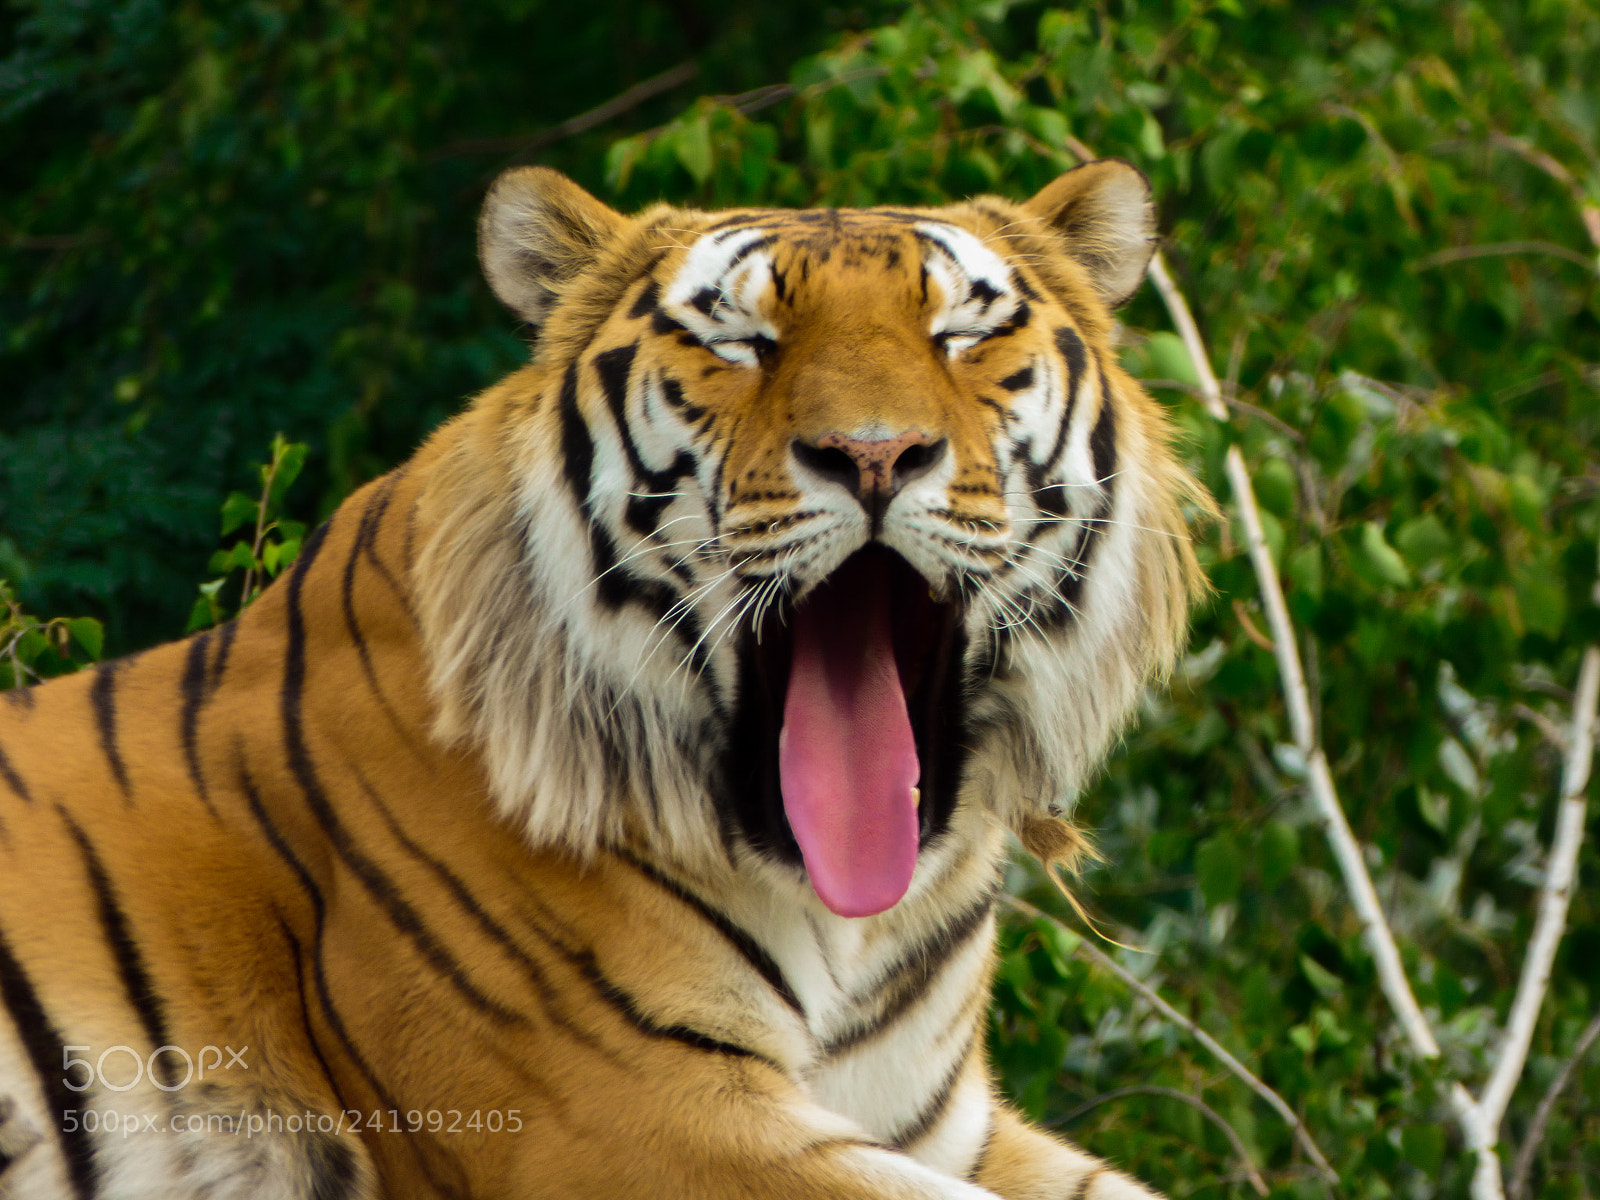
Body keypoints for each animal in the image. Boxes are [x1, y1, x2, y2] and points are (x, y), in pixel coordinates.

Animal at [0, 158, 1207, 1200]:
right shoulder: (628, 1117)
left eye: (959, 337)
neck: (857, 927)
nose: (874, 454)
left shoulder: (939, 1122)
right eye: (744, 342)